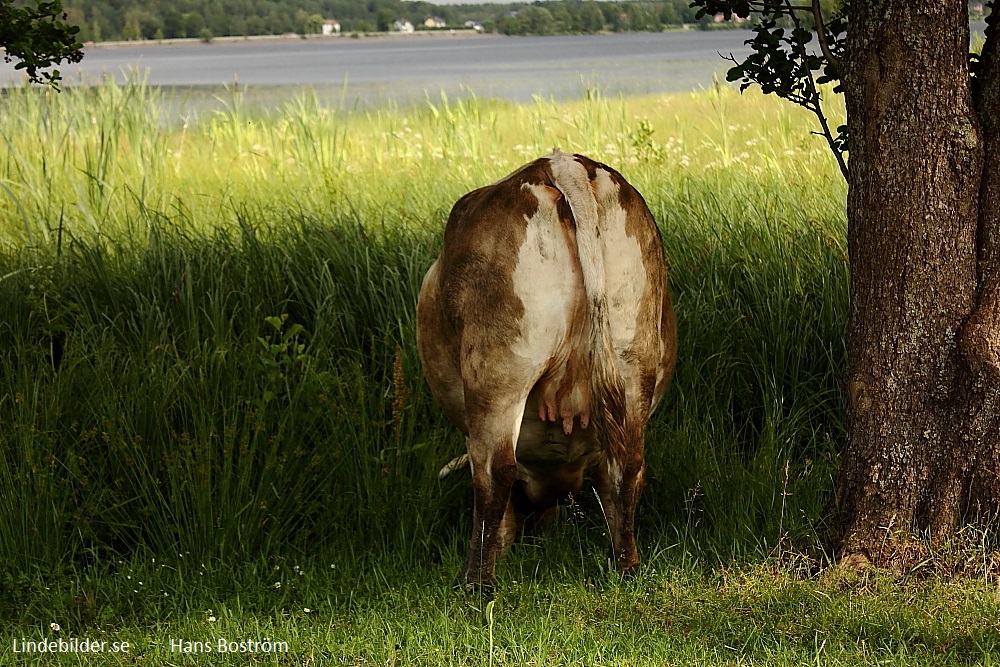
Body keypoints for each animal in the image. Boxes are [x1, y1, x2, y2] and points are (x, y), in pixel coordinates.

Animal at [418, 151, 676, 588]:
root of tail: (563, 161)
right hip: (632, 363)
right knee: (625, 466)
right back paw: (626, 566)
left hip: (498, 370)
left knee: (494, 473)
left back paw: (475, 583)